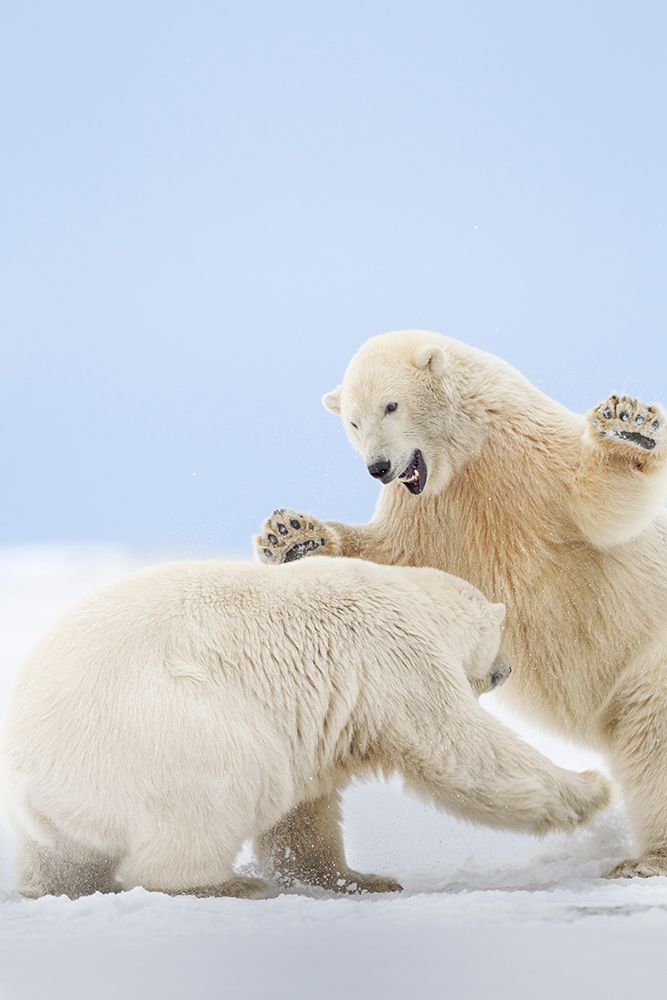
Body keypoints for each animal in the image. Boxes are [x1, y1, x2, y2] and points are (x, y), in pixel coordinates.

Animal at [1, 556, 610, 899]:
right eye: (499, 641)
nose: (506, 670)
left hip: (55, 812)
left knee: (61, 857)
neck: (410, 597)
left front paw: (360, 878)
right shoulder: (394, 652)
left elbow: (304, 813)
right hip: (169, 730)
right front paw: (591, 789)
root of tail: (36, 774)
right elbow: (463, 749)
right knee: (217, 790)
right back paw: (224, 883)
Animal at [256, 328, 667, 882]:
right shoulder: (427, 510)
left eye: (391, 405)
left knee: (653, 735)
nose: (378, 468)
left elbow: (602, 510)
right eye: (353, 422)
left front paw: (629, 428)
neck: (467, 456)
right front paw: (292, 537)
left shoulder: (531, 455)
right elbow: (389, 557)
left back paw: (647, 860)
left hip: (650, 660)